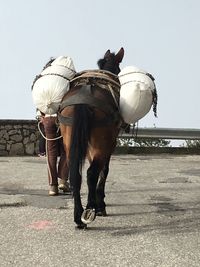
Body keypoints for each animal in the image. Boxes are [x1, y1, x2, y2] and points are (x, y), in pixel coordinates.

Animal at [57, 47, 125, 228]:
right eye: (118, 69)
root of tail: (83, 100)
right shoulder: (110, 144)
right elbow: (104, 171)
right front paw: (100, 204)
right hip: (102, 143)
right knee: (91, 172)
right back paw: (90, 210)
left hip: (70, 141)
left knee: (76, 175)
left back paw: (78, 216)